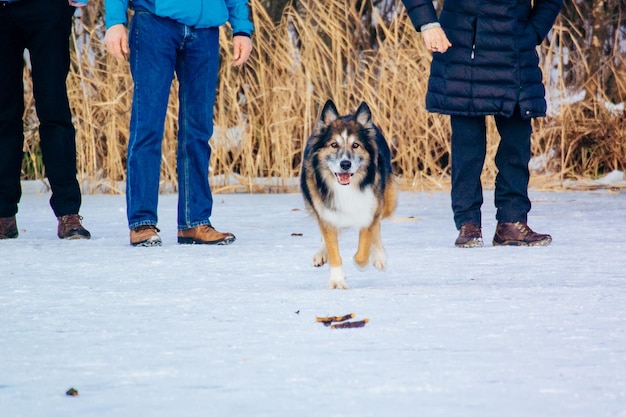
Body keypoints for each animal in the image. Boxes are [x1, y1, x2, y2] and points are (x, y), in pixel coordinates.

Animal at [302, 100, 398, 290]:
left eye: (356, 145)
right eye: (334, 145)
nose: (345, 164)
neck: (346, 188)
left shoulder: (370, 208)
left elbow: (364, 248)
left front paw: (364, 261)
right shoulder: (326, 212)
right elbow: (332, 249)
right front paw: (337, 280)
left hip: (388, 201)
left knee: (378, 224)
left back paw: (379, 255)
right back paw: (320, 253)